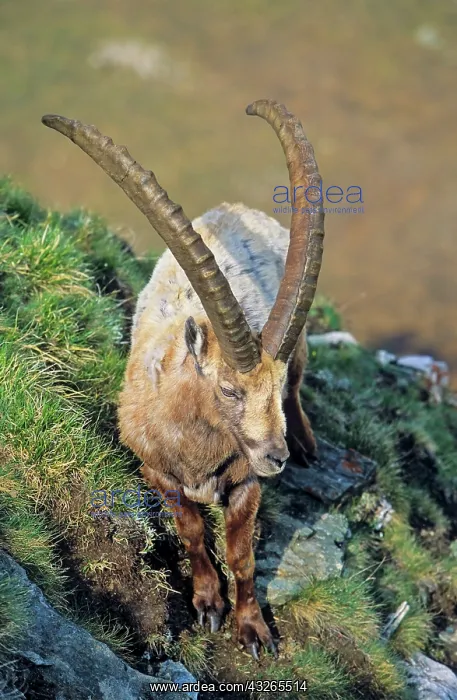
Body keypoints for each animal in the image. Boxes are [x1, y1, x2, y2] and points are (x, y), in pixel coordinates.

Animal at [42, 100, 325, 659]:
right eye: (229, 389)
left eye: (270, 387)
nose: (274, 457)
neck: (196, 444)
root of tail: (236, 210)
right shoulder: (157, 471)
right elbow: (192, 532)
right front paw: (208, 606)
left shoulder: (245, 484)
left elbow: (242, 557)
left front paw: (253, 631)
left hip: (303, 353)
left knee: (304, 385)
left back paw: (307, 444)